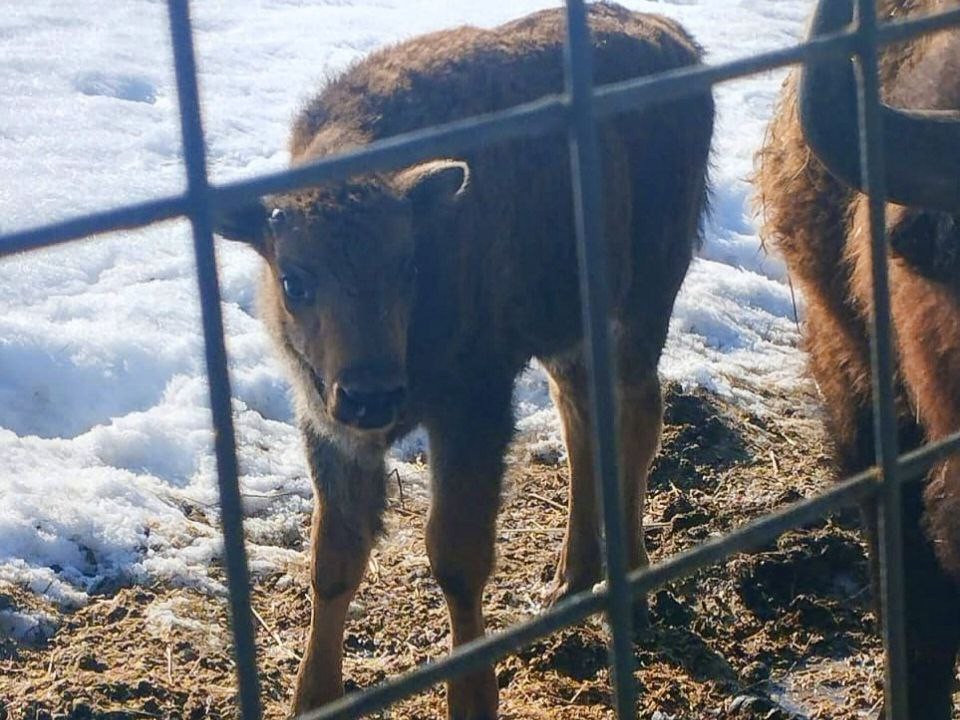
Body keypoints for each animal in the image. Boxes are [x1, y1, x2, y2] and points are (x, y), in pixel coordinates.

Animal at [218, 4, 712, 716]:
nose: (371, 394)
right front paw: (313, 697)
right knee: (583, 421)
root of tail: (673, 38)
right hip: (569, 331)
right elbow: (334, 559)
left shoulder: (471, 409)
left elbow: (456, 557)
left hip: (644, 300)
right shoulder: (329, 427)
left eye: (407, 266)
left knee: (638, 420)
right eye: (294, 279)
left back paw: (633, 586)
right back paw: (570, 578)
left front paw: (473, 696)